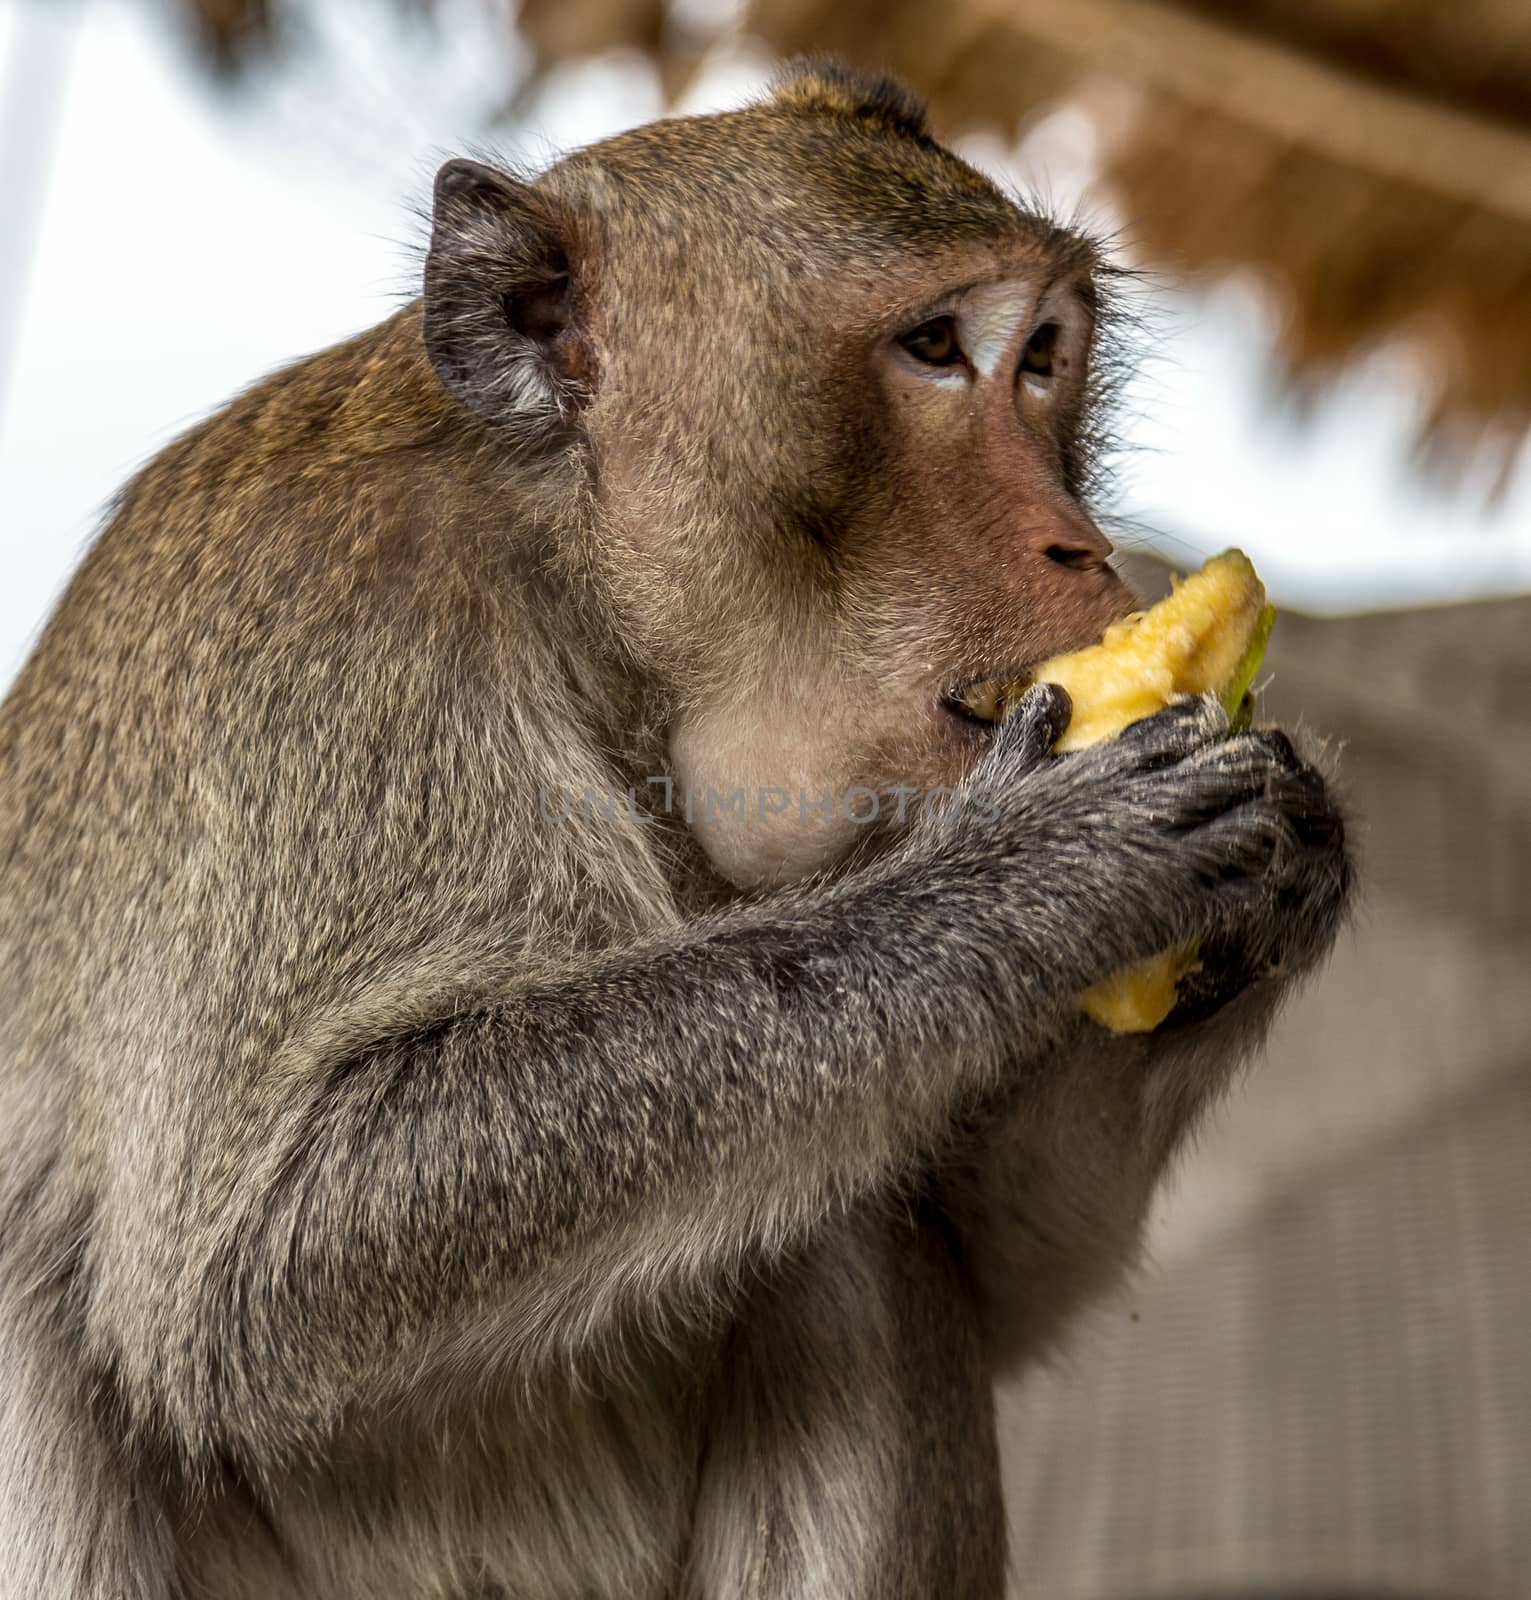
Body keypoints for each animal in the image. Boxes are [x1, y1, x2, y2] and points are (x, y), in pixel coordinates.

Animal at [0, 56, 1343, 1600]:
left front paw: (1285, 867)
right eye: (935, 347)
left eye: (1042, 358)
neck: (574, 593)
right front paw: (1036, 877)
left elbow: (987, 1260)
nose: (1081, 544)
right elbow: (255, 1275)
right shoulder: (323, 645)